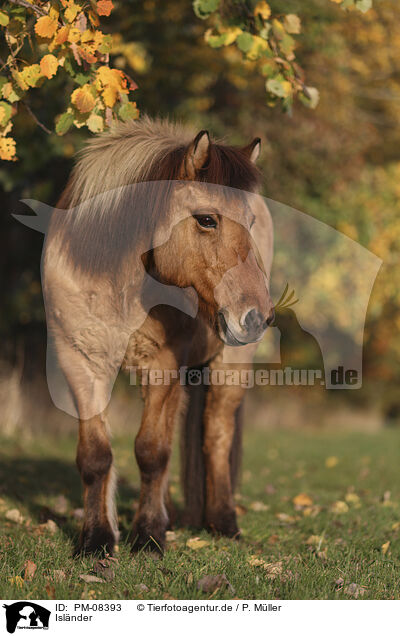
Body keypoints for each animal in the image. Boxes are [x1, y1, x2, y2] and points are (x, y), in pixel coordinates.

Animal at [43, 117, 276, 556]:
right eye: (207, 220)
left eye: (250, 222)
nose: (258, 317)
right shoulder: (80, 361)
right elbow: (96, 455)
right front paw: (97, 539)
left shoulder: (162, 363)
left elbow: (151, 451)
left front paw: (148, 536)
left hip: (230, 364)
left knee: (216, 435)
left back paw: (223, 522)